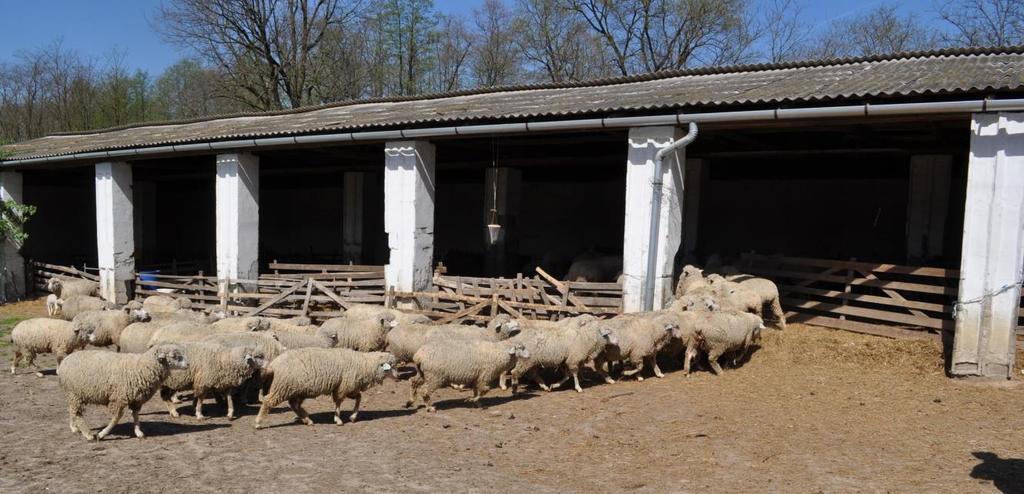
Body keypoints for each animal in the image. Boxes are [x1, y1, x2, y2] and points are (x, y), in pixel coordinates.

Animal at [56, 344, 190, 440]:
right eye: (174, 356)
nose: (188, 364)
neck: (141, 367)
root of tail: (65, 360)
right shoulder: (118, 398)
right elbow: (116, 418)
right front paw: (102, 434)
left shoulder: (136, 399)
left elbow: (135, 415)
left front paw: (138, 432)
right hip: (75, 393)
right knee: (77, 413)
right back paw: (88, 435)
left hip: (74, 394)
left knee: (72, 410)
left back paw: (74, 427)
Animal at [254, 346, 395, 428]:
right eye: (391, 366)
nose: (398, 376)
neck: (363, 365)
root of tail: (273, 365)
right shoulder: (344, 386)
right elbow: (339, 402)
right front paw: (338, 419)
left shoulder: (349, 387)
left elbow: (359, 398)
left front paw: (352, 417)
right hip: (282, 387)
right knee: (268, 401)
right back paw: (258, 422)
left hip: (296, 390)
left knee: (294, 405)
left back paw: (307, 420)